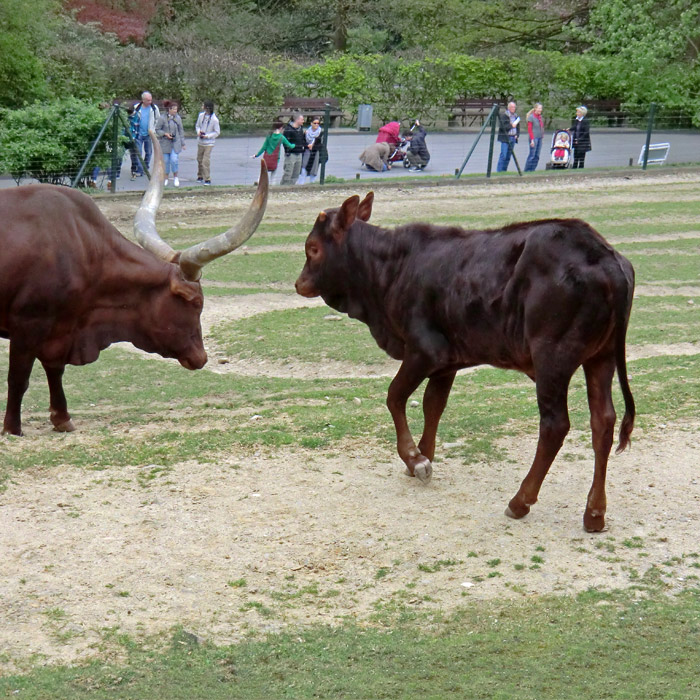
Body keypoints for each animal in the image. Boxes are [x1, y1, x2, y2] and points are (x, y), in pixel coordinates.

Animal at [0, 132, 270, 434]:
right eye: (196, 302)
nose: (202, 358)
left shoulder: (60, 328)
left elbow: (54, 368)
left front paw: (62, 418)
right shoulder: (27, 325)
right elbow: (19, 378)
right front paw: (12, 428)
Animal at [296, 191, 636, 532]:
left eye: (313, 248)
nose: (299, 283)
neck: (391, 268)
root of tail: (605, 257)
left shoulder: (424, 351)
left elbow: (395, 397)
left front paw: (414, 458)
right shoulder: (446, 364)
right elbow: (433, 406)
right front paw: (422, 457)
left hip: (552, 360)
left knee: (555, 426)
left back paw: (520, 501)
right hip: (601, 358)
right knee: (602, 422)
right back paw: (594, 512)